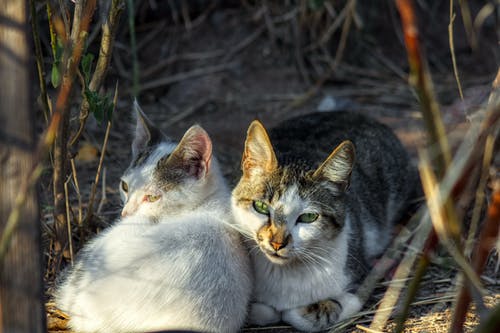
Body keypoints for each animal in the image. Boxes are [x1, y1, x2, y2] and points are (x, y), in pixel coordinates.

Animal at [232, 111, 416, 330]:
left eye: (308, 217)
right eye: (260, 207)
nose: (277, 243)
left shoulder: (357, 277)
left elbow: (318, 311)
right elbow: (257, 310)